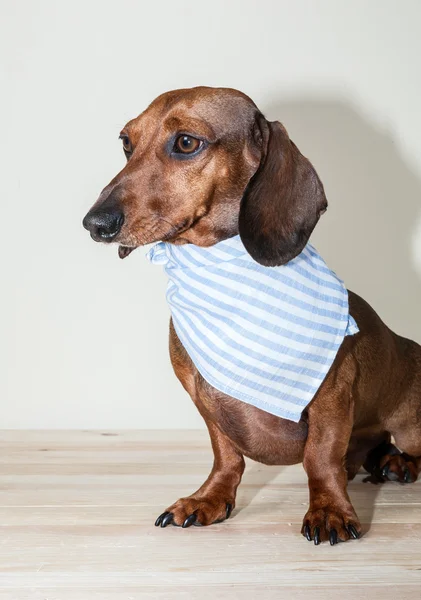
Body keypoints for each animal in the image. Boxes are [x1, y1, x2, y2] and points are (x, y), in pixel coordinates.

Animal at [83, 88, 420, 544]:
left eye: (186, 142)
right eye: (126, 143)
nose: (95, 223)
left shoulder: (332, 395)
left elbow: (320, 458)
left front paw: (329, 509)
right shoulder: (203, 398)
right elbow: (226, 455)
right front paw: (208, 499)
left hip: (410, 426)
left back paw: (400, 463)